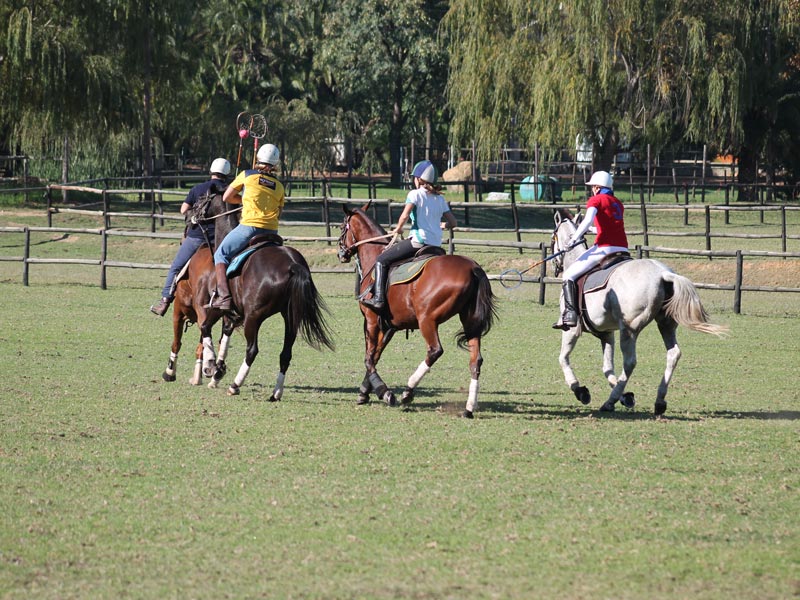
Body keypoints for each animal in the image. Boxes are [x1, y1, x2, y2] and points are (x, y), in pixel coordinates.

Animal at [166, 190, 334, 400]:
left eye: (200, 201)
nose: (188, 217)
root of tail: (293, 265)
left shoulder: (215, 308)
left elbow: (205, 329)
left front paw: (210, 364)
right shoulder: (231, 314)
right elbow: (224, 337)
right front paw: (217, 371)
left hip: (254, 317)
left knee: (252, 350)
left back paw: (235, 385)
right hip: (290, 317)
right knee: (286, 353)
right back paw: (276, 393)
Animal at [334, 202, 496, 418]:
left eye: (342, 227)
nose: (341, 253)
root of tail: (473, 268)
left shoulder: (371, 320)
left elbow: (368, 357)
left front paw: (384, 392)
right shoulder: (390, 326)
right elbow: (376, 355)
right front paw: (364, 392)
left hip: (427, 319)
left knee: (435, 351)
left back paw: (408, 391)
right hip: (470, 322)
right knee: (475, 361)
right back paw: (468, 408)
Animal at [552, 209, 728, 414]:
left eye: (552, 237)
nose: (555, 266)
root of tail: (663, 274)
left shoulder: (572, 330)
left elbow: (563, 358)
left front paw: (580, 390)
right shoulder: (606, 333)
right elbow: (607, 368)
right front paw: (625, 396)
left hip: (629, 329)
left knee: (630, 361)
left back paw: (609, 402)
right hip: (665, 323)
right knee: (673, 354)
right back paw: (659, 401)